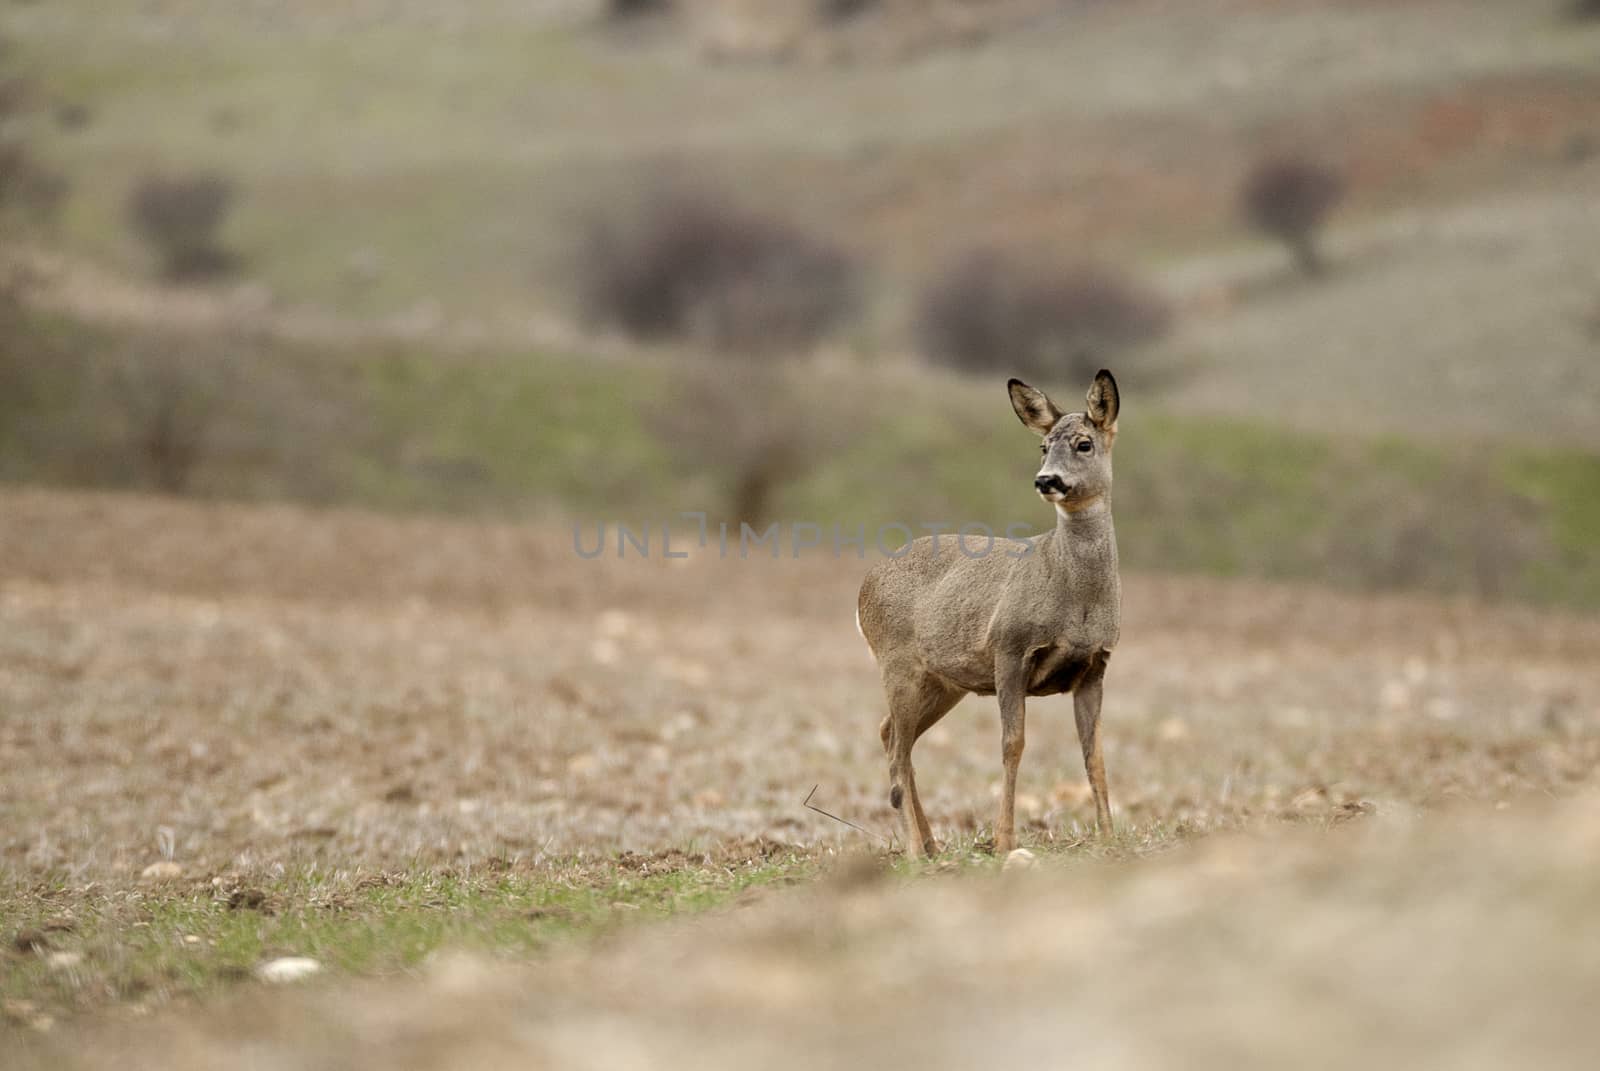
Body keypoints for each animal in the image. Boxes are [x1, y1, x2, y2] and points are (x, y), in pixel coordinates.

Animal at [857, 371, 1120, 858]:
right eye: (1043, 446)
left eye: (1084, 444)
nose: (1046, 480)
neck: (1076, 599)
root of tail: (864, 586)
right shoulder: (1009, 648)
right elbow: (1012, 744)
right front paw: (1004, 841)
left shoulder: (1096, 664)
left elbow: (1093, 753)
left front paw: (1109, 836)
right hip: (897, 663)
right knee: (898, 749)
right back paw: (914, 849)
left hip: (944, 681)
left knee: (891, 734)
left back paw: (931, 844)